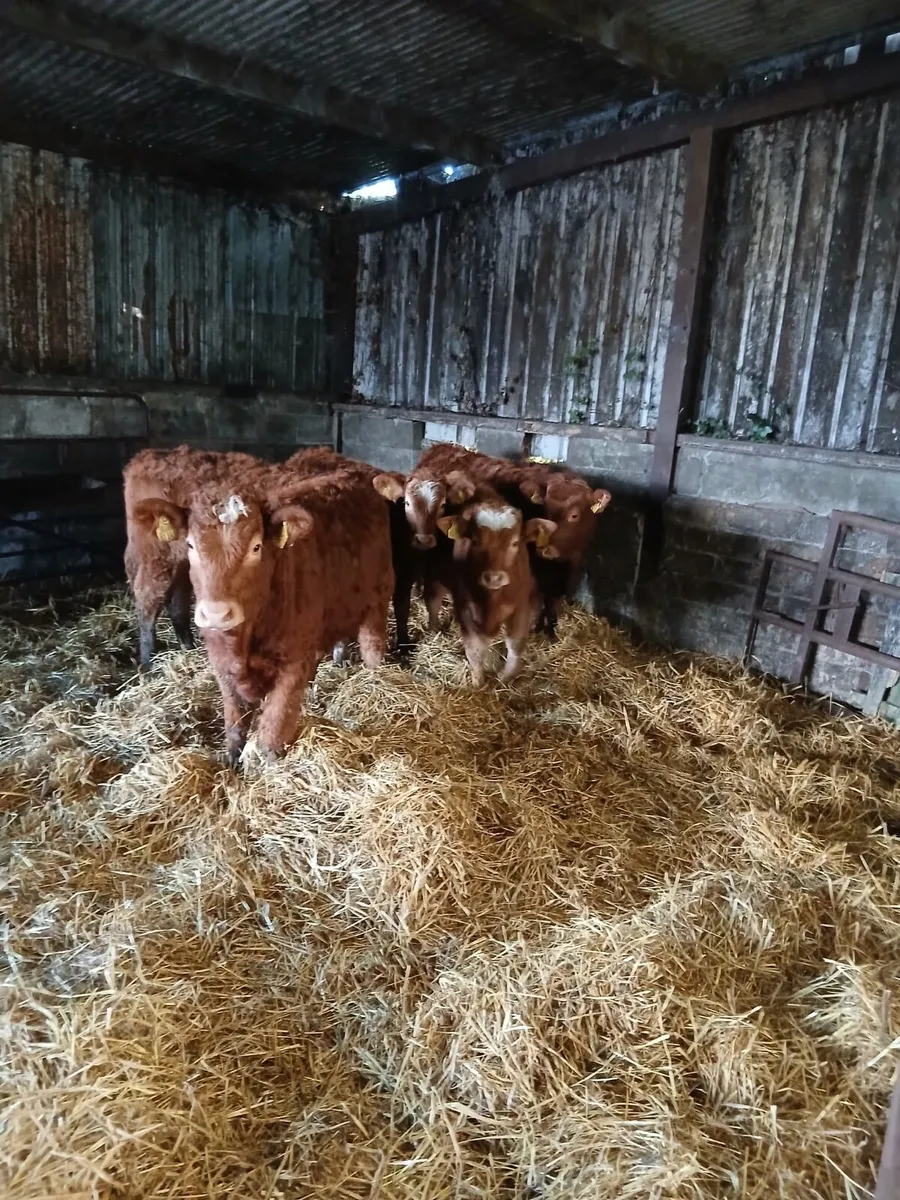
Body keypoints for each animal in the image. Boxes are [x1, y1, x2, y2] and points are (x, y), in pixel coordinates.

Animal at [124, 446, 262, 670]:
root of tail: (148, 455)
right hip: (157, 556)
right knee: (148, 598)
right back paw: (146, 664)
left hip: (181, 562)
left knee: (177, 602)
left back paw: (187, 648)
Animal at [129, 460, 393, 765]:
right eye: (190, 545)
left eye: (256, 547)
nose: (216, 614)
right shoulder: (222, 664)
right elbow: (234, 725)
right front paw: (232, 762)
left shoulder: (292, 665)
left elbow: (273, 730)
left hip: (379, 597)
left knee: (372, 645)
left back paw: (375, 678)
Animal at [434, 489, 556, 686]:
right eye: (475, 542)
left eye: (515, 543)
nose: (494, 577)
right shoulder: (464, 607)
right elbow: (474, 650)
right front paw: (478, 682)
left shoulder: (520, 606)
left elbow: (515, 644)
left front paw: (505, 678)